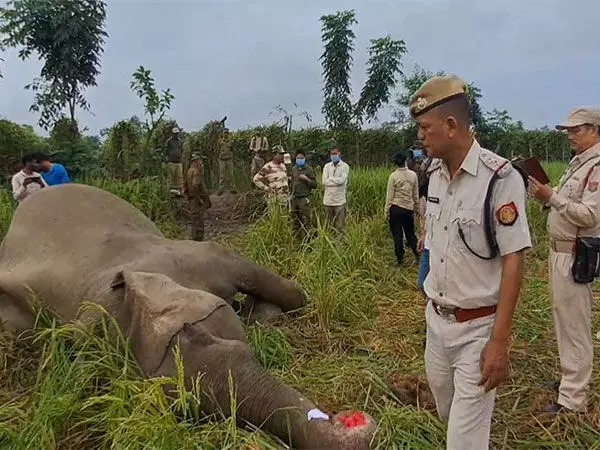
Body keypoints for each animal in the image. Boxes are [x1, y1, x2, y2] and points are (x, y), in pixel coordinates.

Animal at [0, 184, 376, 450]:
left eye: (197, 333)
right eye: (192, 410)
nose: (352, 420)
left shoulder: (193, 256)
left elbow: (271, 283)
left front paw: (269, 312)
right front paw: (258, 315)